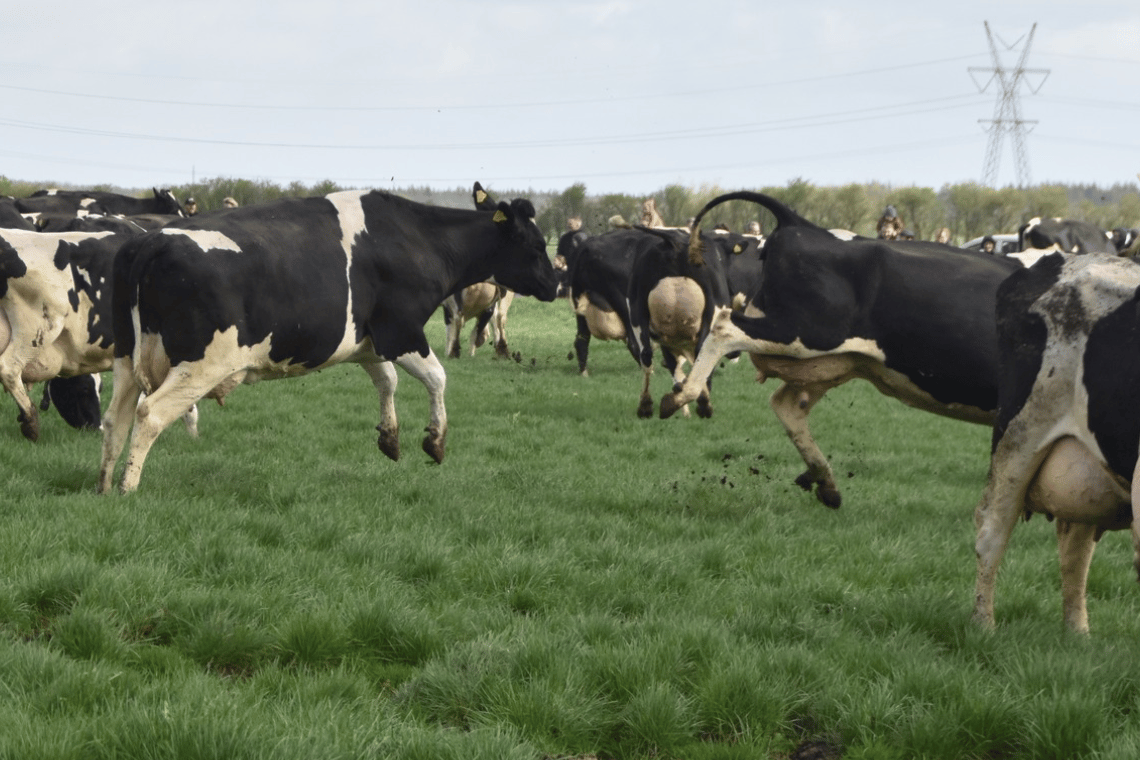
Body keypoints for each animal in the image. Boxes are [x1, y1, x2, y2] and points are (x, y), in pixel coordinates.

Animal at [100, 185, 558, 494]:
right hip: (199, 366)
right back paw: (127, 488)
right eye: (536, 244)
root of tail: (150, 240)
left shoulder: (369, 342)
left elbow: (387, 381)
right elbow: (436, 378)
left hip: (126, 361)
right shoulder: (403, 331)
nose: (556, 284)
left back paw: (104, 484)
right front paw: (435, 441)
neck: (420, 239)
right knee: (150, 415)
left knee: (115, 418)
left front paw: (389, 438)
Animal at [661, 190, 1026, 508]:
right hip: (806, 331)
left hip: (831, 359)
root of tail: (805, 226)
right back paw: (682, 396)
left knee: (787, 405)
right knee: (724, 326)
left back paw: (825, 483)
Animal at [971, 255, 1140, 638]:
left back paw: (1078, 636)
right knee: (991, 533)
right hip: (1018, 435)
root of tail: (1058, 260)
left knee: (1075, 553)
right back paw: (983, 626)